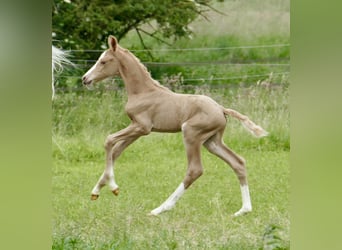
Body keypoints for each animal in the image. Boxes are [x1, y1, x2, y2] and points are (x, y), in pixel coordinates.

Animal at [82, 35, 268, 217]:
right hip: (212, 141)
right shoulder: (137, 130)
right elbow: (115, 151)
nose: (85, 79)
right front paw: (96, 191)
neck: (143, 92)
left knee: (195, 170)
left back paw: (160, 209)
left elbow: (108, 140)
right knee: (238, 162)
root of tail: (221, 109)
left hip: (191, 133)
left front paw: (113, 187)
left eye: (103, 61)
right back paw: (244, 210)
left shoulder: (142, 127)